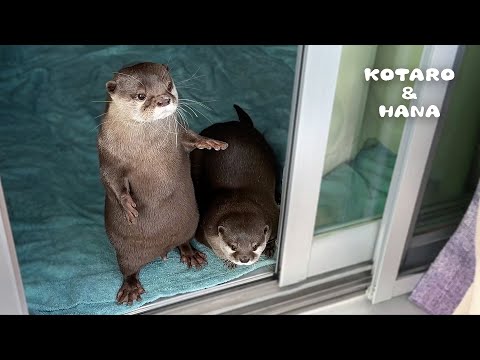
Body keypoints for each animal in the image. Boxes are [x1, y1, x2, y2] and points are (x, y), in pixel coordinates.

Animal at [97, 62, 229, 304]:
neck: (148, 144)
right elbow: (111, 179)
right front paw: (128, 207)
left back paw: (191, 254)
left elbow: (192, 138)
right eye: (141, 95)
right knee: (128, 269)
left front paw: (210, 142)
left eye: (168, 85)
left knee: (183, 241)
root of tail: (163, 248)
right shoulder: (107, 153)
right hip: (125, 252)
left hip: (188, 225)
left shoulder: (179, 132)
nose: (164, 99)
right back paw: (130, 288)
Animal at [191, 104, 280, 268]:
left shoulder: (274, 216)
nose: (244, 258)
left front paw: (270, 247)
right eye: (233, 246)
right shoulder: (204, 231)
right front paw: (227, 260)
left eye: (255, 245)